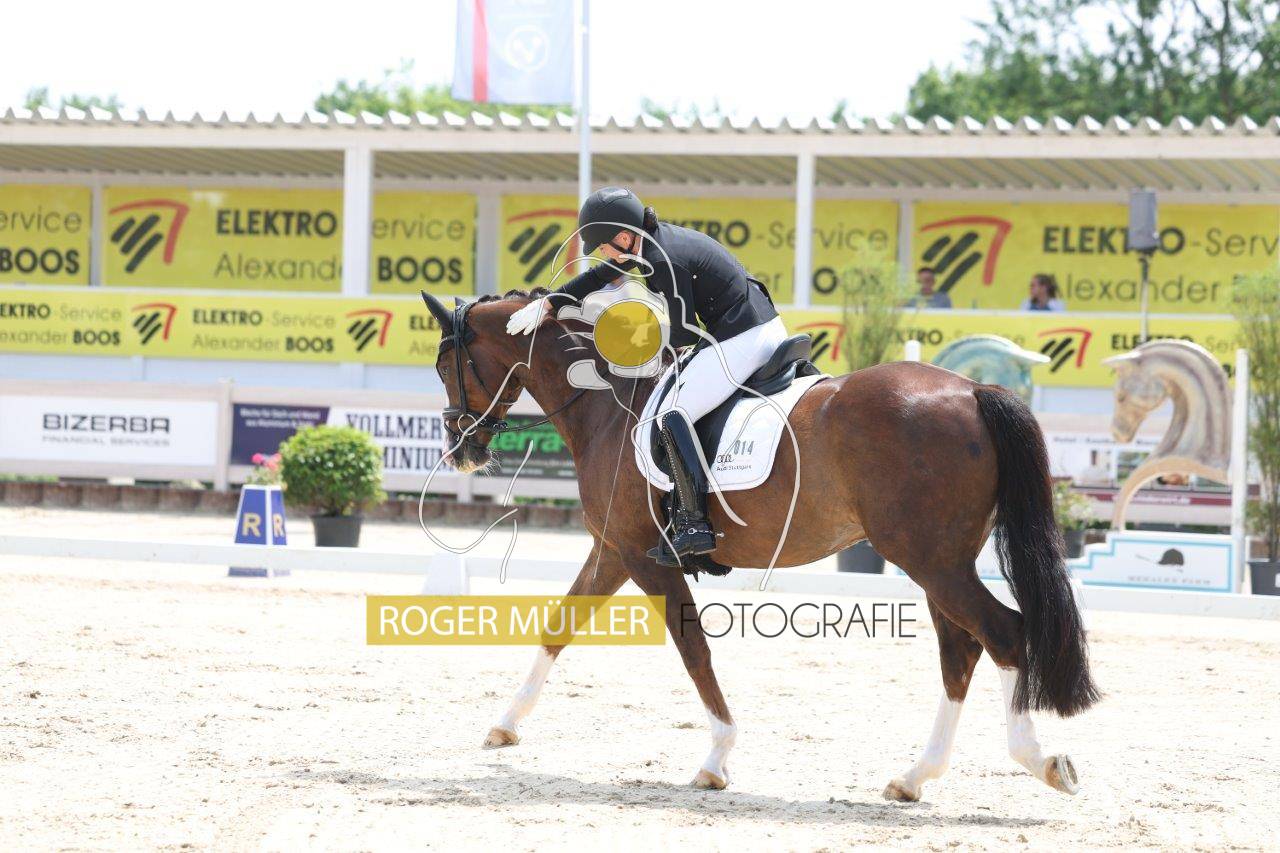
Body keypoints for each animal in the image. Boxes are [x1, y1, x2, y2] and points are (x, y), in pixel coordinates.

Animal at [419, 288, 1098, 800]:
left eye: (444, 366)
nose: (461, 452)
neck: (606, 404)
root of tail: (972, 391)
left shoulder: (643, 558)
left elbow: (693, 650)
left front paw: (716, 758)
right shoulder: (613, 550)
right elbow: (559, 627)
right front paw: (503, 726)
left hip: (930, 559)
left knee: (1003, 633)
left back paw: (1039, 761)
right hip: (938, 561)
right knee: (961, 650)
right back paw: (913, 777)